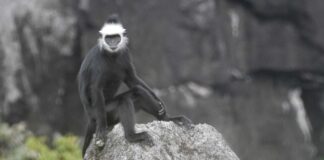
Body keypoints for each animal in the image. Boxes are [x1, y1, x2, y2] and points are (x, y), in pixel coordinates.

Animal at [77, 14, 191, 157]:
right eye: (109, 38)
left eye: (115, 37)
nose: (113, 43)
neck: (111, 55)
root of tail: (90, 118)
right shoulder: (98, 60)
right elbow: (96, 88)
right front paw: (102, 129)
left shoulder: (125, 54)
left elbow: (132, 79)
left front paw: (160, 103)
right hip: (102, 111)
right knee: (123, 100)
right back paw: (132, 136)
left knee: (138, 91)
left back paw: (167, 119)